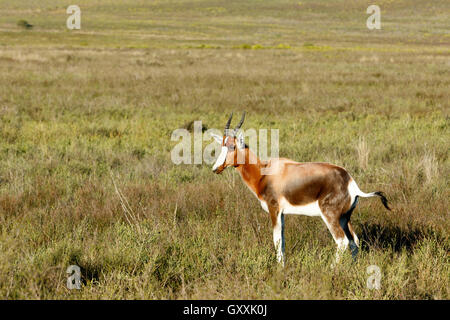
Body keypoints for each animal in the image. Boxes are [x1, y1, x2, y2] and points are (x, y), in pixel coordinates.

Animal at [211, 112, 390, 264]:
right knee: (354, 241)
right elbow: (282, 241)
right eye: (222, 146)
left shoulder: (274, 210)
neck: (265, 173)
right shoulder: (282, 214)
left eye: (232, 146)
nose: (215, 168)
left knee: (342, 241)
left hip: (330, 216)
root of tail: (351, 183)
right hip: (345, 217)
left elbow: (276, 240)